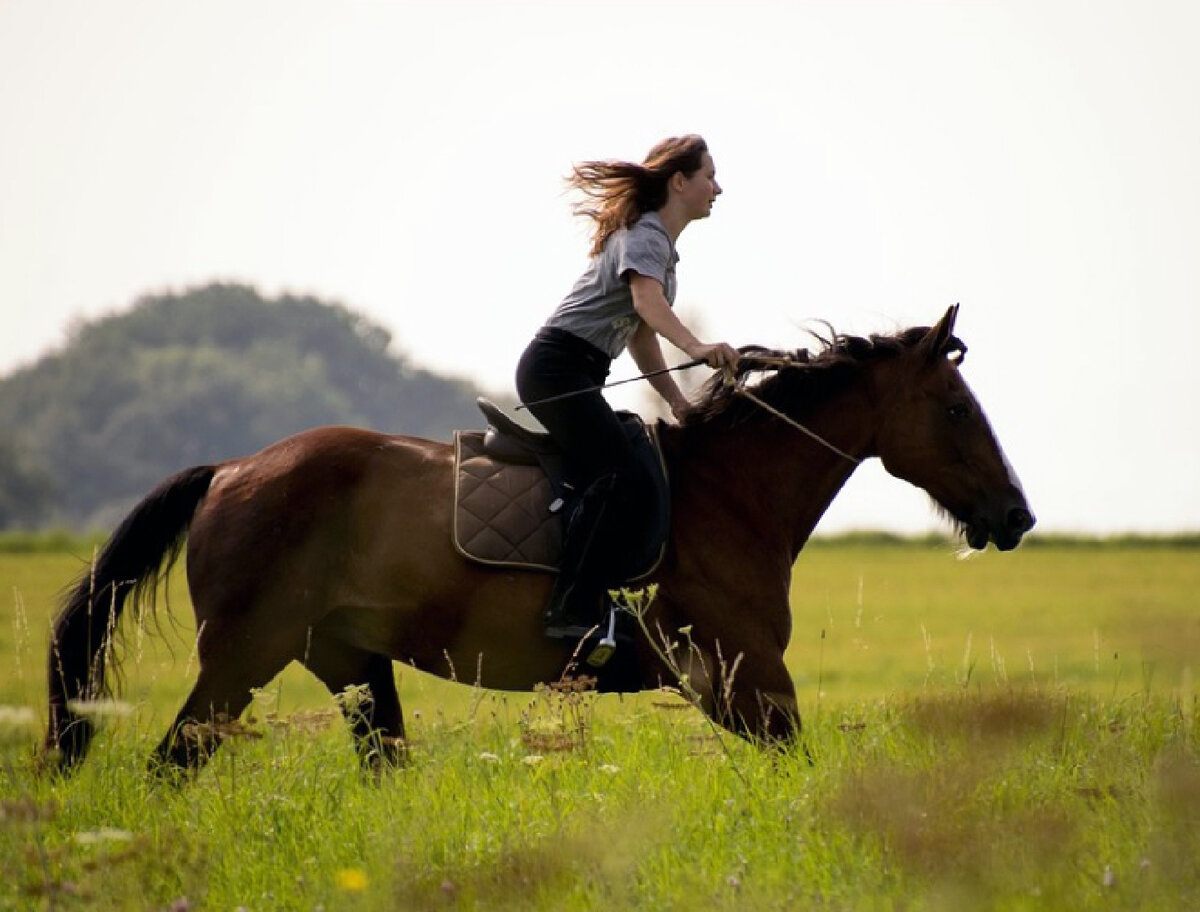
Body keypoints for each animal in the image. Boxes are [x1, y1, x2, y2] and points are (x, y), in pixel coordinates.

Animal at [39, 302, 1032, 772]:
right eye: (954, 409)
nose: (1017, 516)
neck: (730, 491)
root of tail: (233, 469)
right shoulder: (745, 676)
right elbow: (802, 771)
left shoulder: (742, 684)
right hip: (244, 657)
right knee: (171, 764)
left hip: (350, 663)